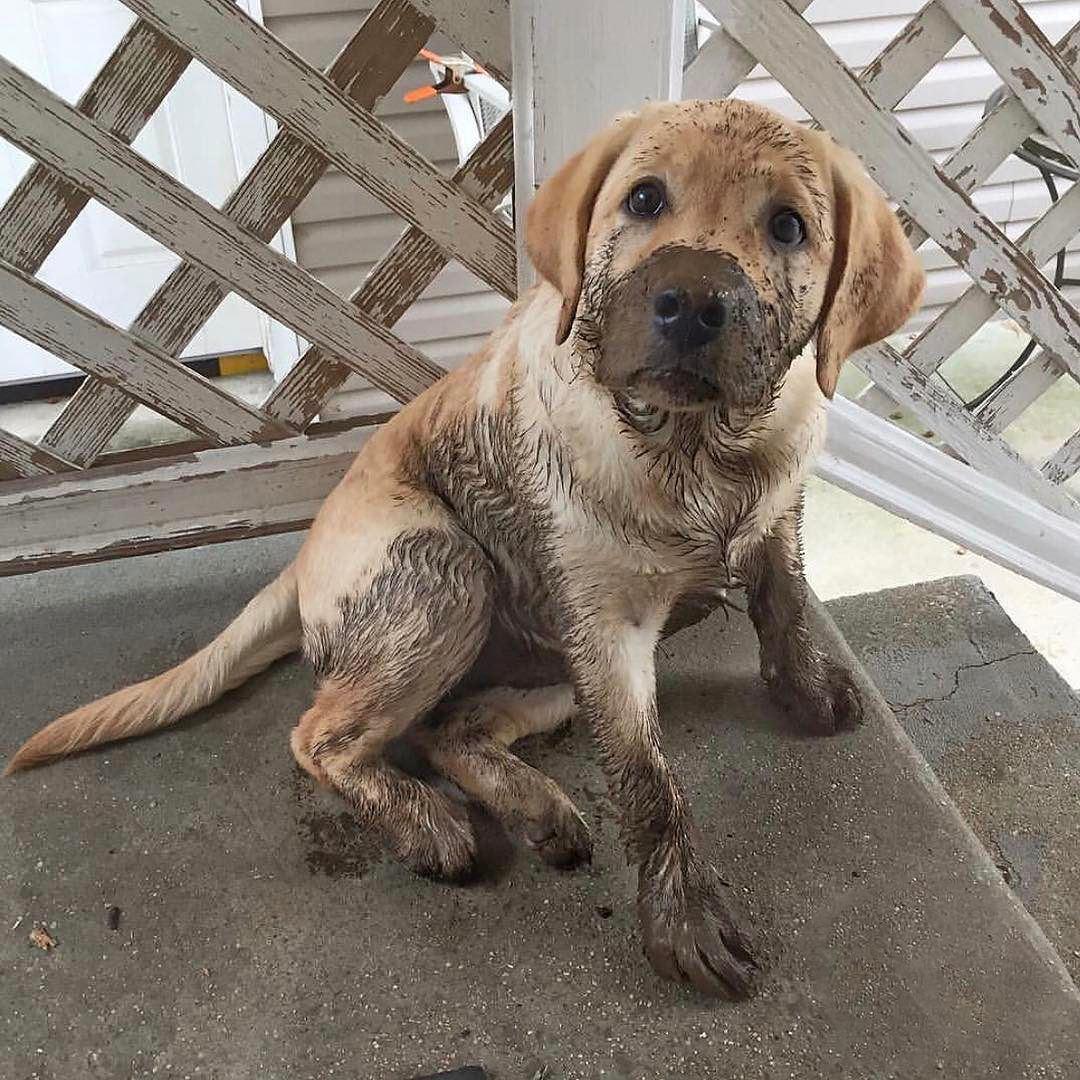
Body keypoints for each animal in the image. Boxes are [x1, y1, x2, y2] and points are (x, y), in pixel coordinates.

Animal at [4, 99, 924, 993]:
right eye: (644, 200)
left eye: (788, 226)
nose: (694, 301)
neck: (698, 449)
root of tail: (299, 564)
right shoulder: (611, 627)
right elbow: (648, 780)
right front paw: (684, 919)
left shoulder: (775, 517)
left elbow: (784, 601)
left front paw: (806, 690)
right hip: (447, 577)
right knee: (322, 736)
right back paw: (427, 823)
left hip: (561, 654)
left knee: (453, 728)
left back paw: (535, 808)